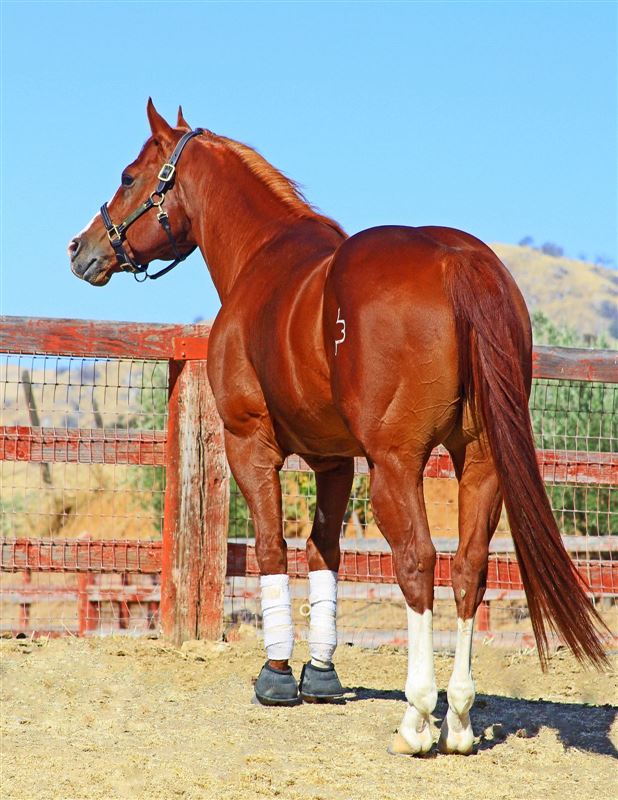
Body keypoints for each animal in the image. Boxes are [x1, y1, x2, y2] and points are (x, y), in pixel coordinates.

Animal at [69, 100, 608, 755]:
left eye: (128, 177)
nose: (81, 247)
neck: (262, 259)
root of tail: (457, 260)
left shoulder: (250, 444)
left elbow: (273, 548)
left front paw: (277, 675)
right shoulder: (333, 459)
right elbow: (323, 551)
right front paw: (321, 674)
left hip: (397, 464)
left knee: (417, 562)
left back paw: (417, 717)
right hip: (479, 462)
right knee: (468, 566)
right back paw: (457, 717)